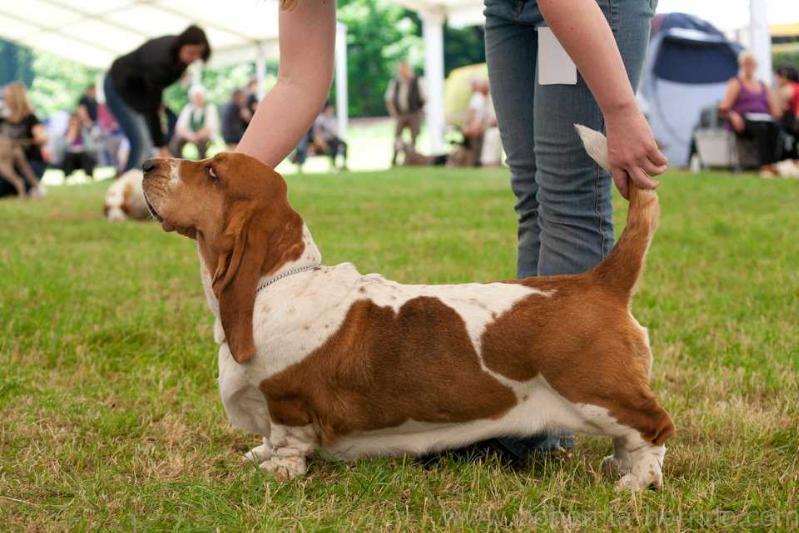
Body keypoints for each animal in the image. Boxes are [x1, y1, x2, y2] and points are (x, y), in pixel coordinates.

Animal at [142, 125, 676, 490]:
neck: (278, 281)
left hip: (596, 393)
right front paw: (259, 455)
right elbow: (269, 439)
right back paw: (619, 464)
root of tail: (598, 281)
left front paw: (277, 470)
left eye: (213, 171)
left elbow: (288, 441)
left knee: (654, 426)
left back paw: (637, 481)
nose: (147, 164)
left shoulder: (287, 402)